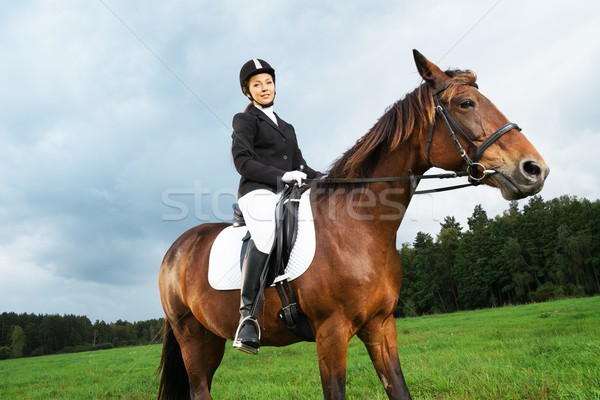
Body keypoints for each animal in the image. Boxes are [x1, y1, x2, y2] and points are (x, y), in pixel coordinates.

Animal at [158, 50, 548, 400]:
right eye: (466, 103)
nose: (535, 169)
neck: (358, 227)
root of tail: (176, 250)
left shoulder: (381, 326)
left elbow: (399, 390)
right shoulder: (331, 334)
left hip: (210, 337)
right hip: (191, 336)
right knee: (200, 388)